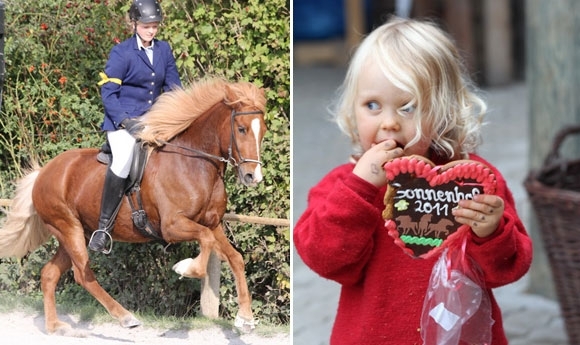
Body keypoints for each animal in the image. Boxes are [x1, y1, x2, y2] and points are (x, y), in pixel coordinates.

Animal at [0, 77, 268, 334]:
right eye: (241, 129)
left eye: (262, 131)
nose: (252, 177)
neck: (195, 163)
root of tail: (44, 172)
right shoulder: (172, 226)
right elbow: (205, 240)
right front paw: (186, 268)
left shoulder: (213, 224)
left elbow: (235, 258)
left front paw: (245, 318)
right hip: (68, 229)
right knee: (83, 275)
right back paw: (126, 317)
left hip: (74, 233)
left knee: (49, 274)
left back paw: (56, 327)